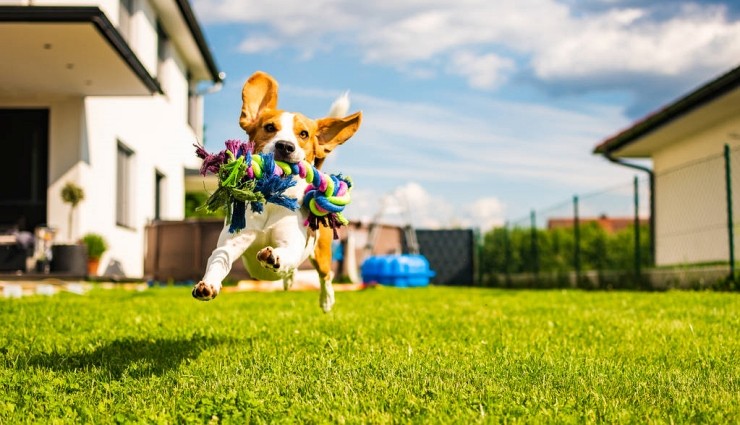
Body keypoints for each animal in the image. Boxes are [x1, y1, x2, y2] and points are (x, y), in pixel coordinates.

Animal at [192, 71, 362, 312]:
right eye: (270, 127)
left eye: (303, 134)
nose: (285, 146)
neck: (273, 197)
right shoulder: (232, 241)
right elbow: (220, 258)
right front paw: (208, 284)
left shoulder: (292, 242)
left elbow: (288, 253)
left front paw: (275, 258)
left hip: (321, 252)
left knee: (325, 275)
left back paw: (326, 299)